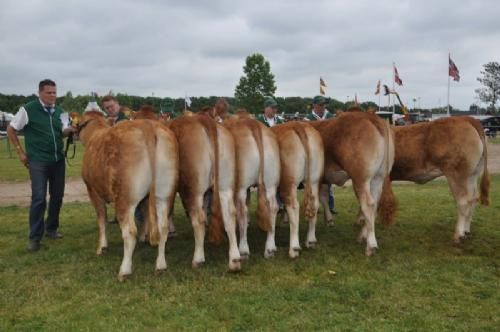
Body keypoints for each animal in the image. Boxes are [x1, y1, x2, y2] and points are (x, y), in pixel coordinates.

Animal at [76, 111, 178, 280]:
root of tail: (147, 125)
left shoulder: (92, 189)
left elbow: (101, 219)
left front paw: (102, 247)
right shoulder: (145, 198)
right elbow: (144, 213)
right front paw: (144, 237)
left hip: (125, 197)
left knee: (129, 232)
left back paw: (124, 270)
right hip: (164, 193)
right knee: (163, 227)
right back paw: (161, 265)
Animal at [270, 122, 324, 256]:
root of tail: (298, 125)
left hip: (289, 182)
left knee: (294, 207)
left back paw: (294, 249)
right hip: (314, 179)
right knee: (315, 205)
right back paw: (310, 241)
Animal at [310, 111, 396, 254]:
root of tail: (370, 116)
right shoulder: (323, 180)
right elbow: (324, 197)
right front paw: (329, 220)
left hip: (360, 178)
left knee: (368, 204)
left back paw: (371, 245)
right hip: (378, 177)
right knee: (375, 203)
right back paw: (362, 236)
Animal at [388, 116, 490, 244]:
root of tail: (466, 118)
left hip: (457, 175)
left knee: (463, 201)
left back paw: (458, 235)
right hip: (472, 175)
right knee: (473, 198)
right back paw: (466, 231)